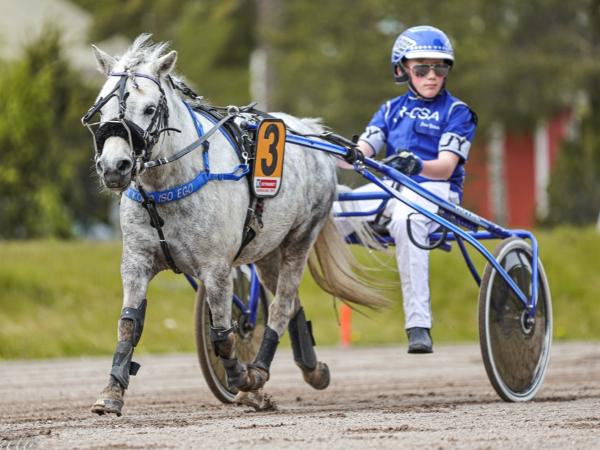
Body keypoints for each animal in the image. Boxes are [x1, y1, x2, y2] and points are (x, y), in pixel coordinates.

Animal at [83, 34, 387, 415]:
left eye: (150, 108)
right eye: (102, 109)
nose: (114, 167)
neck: (167, 187)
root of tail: (308, 129)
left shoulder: (216, 268)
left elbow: (223, 333)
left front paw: (241, 377)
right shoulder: (136, 262)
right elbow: (128, 324)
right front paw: (111, 391)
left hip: (300, 238)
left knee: (281, 305)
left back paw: (258, 373)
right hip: (267, 249)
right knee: (291, 305)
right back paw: (309, 369)